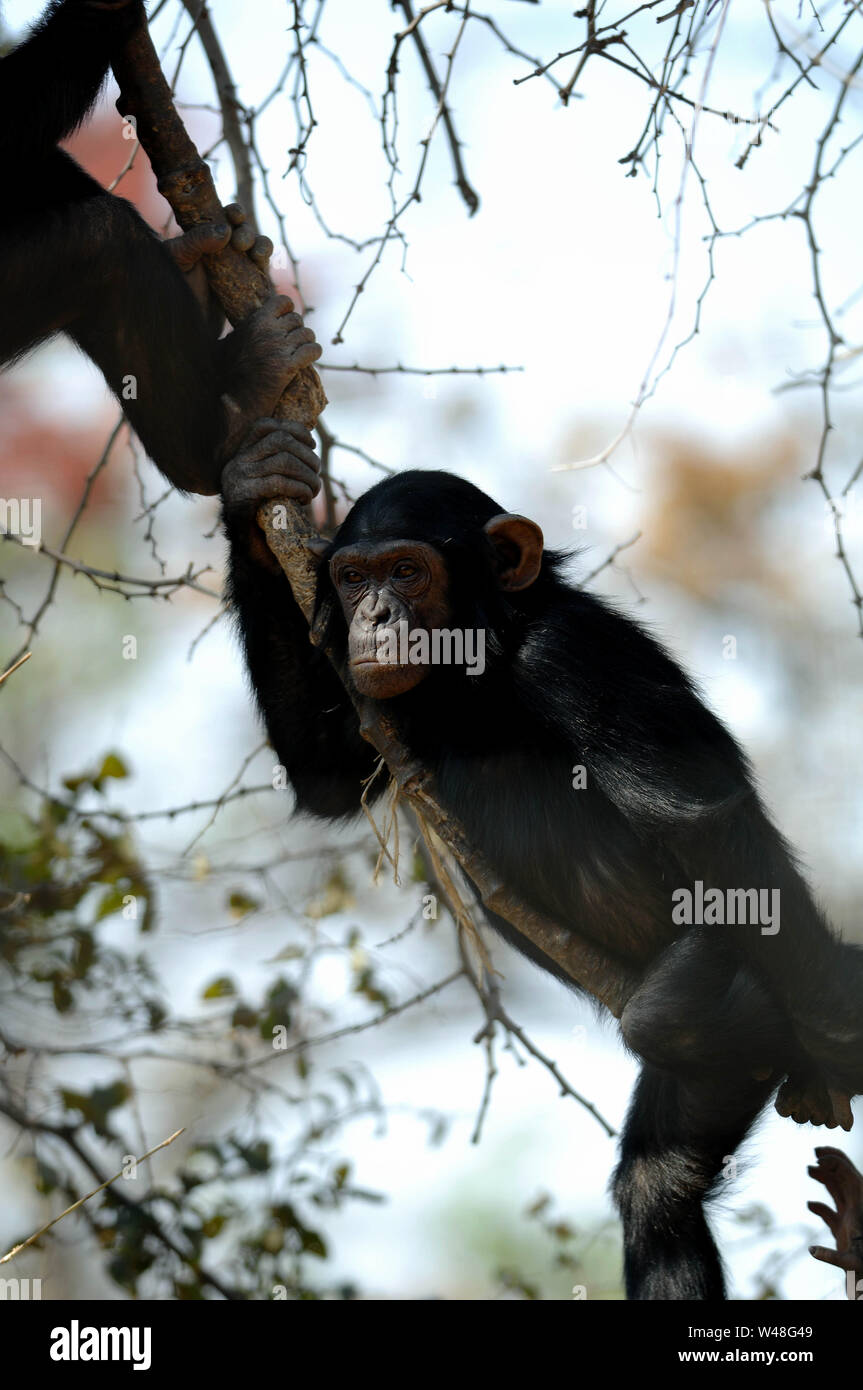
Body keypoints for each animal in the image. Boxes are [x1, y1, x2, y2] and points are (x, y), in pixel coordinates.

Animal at [222, 417, 861, 1295]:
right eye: (351, 578)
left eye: (407, 571)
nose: (374, 614)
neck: (481, 662)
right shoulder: (367, 700)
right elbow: (326, 777)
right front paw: (253, 494)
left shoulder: (571, 655)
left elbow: (692, 819)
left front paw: (837, 1027)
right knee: (658, 1188)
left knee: (672, 1012)